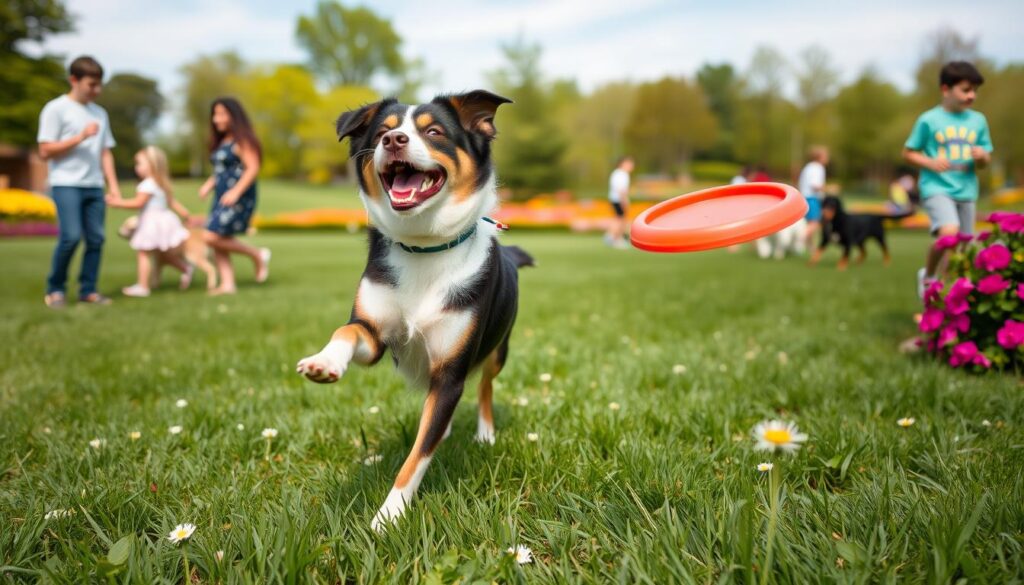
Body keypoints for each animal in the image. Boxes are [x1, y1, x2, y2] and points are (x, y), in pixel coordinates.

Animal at [296, 90, 536, 532]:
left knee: (484, 384)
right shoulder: (374, 333)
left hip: (499, 348)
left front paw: (388, 517)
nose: (394, 141)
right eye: (383, 132)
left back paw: (485, 432)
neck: (425, 247)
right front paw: (325, 362)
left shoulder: (451, 370)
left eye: (434, 131)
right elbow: (347, 331)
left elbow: (417, 457)